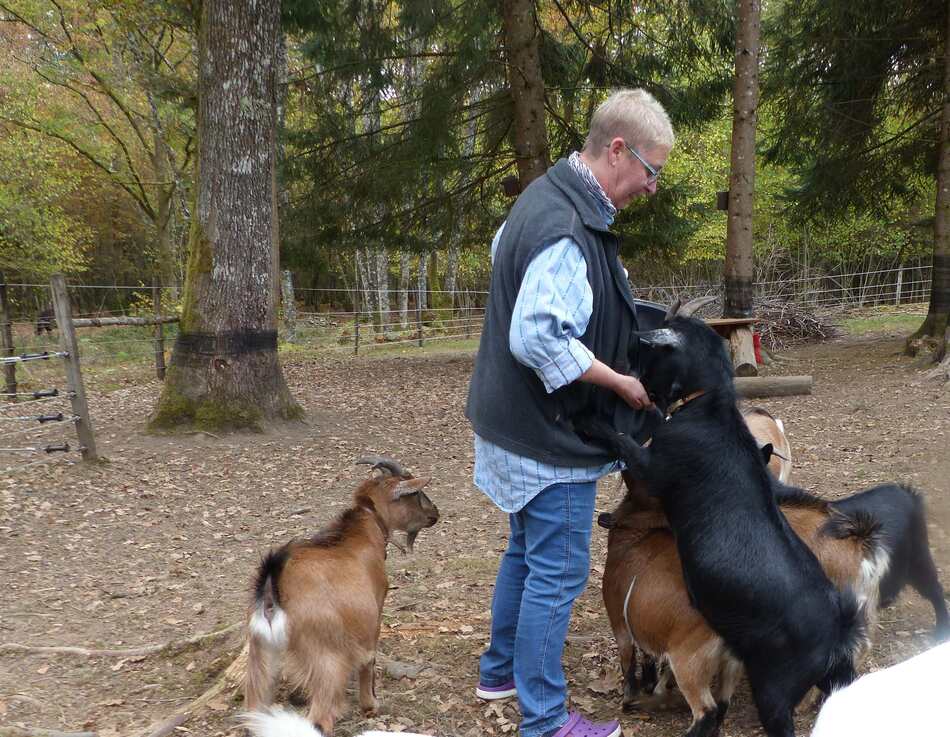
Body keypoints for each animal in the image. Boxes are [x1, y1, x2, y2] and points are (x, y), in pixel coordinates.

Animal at [244, 458, 440, 732]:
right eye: (415, 493)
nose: (435, 514)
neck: (360, 536)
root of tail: (275, 590)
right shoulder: (374, 614)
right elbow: (369, 660)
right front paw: (370, 705)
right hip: (327, 660)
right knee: (320, 718)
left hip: (260, 657)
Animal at [576, 306, 868, 736]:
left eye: (649, 353)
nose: (630, 377)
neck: (709, 409)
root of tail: (837, 637)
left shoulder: (653, 469)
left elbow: (625, 443)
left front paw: (587, 420)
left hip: (772, 688)